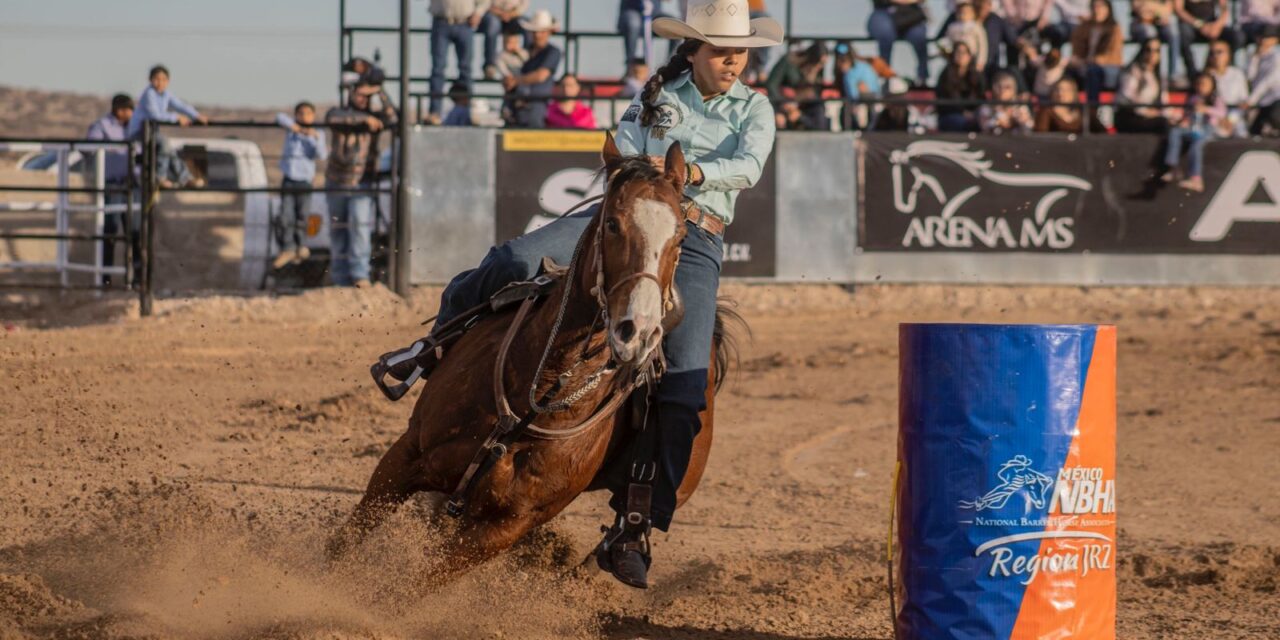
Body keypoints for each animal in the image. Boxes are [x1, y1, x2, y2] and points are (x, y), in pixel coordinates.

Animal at [325, 136, 737, 586]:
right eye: (613, 223)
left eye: (680, 236)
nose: (639, 331)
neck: (539, 388)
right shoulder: (405, 457)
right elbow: (343, 544)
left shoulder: (506, 526)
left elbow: (407, 590)